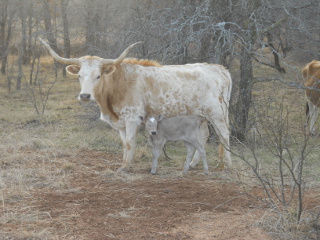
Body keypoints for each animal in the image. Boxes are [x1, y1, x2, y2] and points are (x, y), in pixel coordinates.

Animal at [38, 38, 231, 172]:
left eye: (98, 76)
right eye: (79, 76)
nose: (85, 95)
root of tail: (219, 69)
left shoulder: (132, 119)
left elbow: (130, 143)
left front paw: (125, 167)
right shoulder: (121, 123)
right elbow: (125, 144)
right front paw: (125, 163)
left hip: (217, 114)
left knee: (224, 135)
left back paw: (226, 165)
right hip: (201, 117)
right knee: (204, 137)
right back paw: (193, 164)